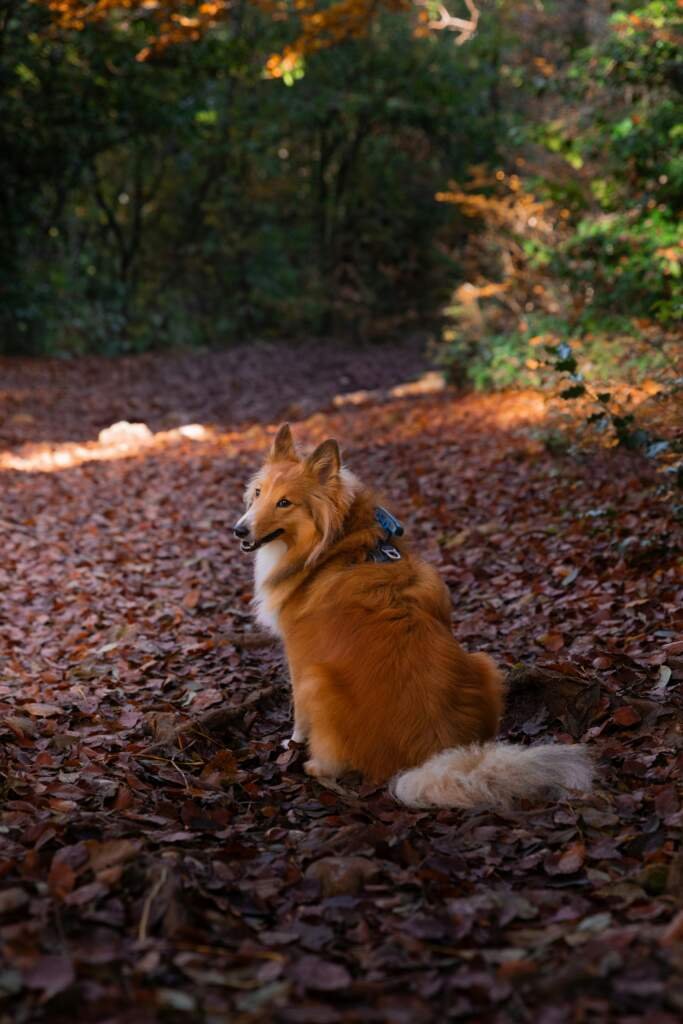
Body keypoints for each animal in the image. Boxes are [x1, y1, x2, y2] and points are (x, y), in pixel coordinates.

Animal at [235, 423, 593, 806]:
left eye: (285, 502)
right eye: (258, 493)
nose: (238, 530)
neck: (336, 546)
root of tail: (430, 755)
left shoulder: (298, 655)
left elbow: (298, 714)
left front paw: (293, 743)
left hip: (319, 680)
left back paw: (316, 767)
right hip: (484, 663)